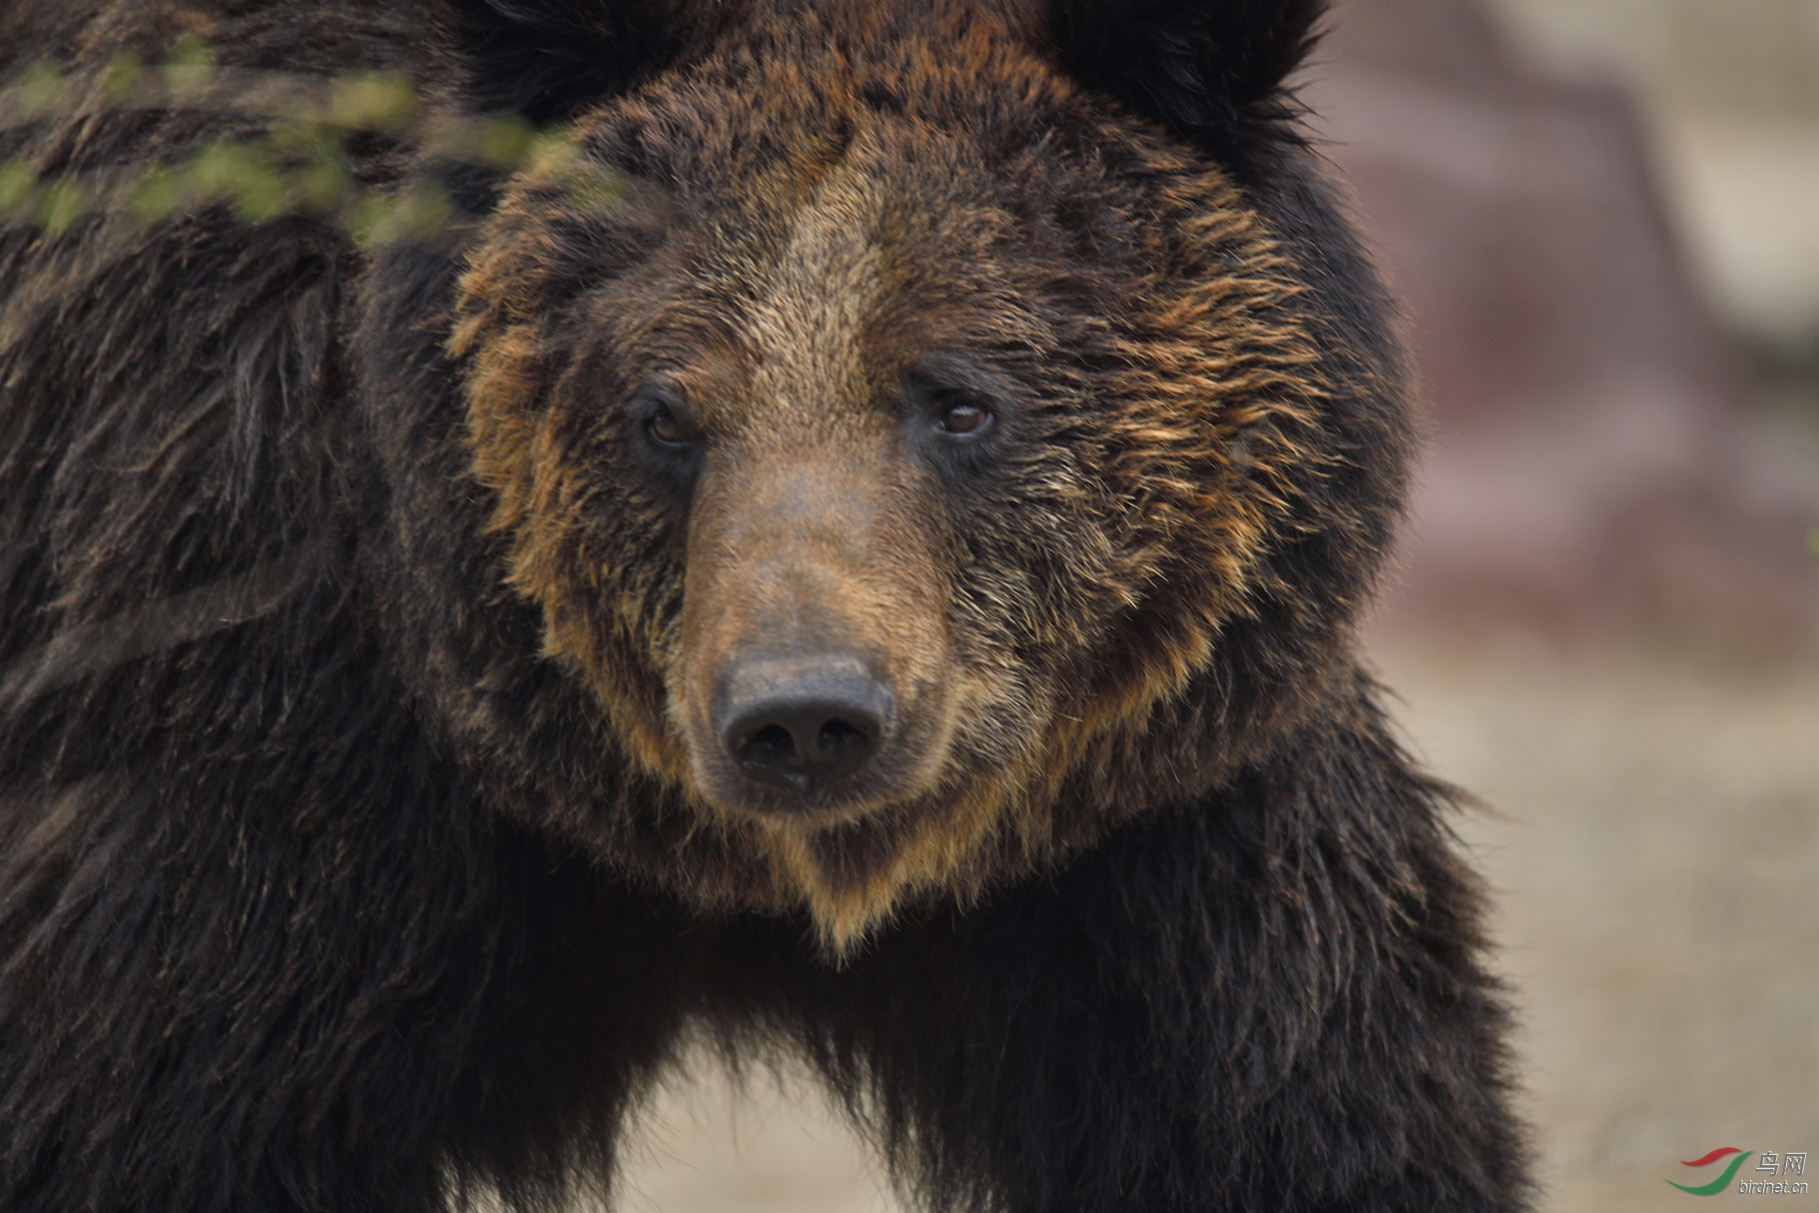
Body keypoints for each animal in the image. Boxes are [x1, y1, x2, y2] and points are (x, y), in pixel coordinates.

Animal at [0, 2, 1535, 1213]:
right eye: (662, 410)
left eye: (960, 397)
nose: (803, 716)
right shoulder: (278, 748)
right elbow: (150, 1087)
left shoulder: (1143, 824)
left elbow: (1299, 1095)